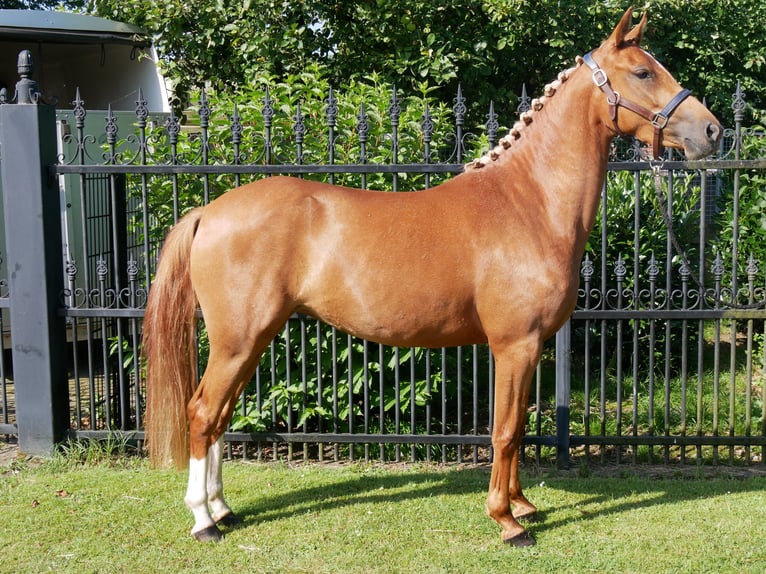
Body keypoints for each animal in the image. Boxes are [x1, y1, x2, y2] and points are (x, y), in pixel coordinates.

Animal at [142, 10, 720, 548]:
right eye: (643, 71)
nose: (713, 130)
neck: (529, 203)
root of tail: (211, 211)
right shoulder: (514, 345)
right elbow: (505, 431)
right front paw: (507, 521)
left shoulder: (530, 347)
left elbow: (518, 427)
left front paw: (523, 505)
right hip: (239, 340)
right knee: (202, 413)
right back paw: (203, 521)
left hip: (251, 340)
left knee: (219, 416)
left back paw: (223, 510)